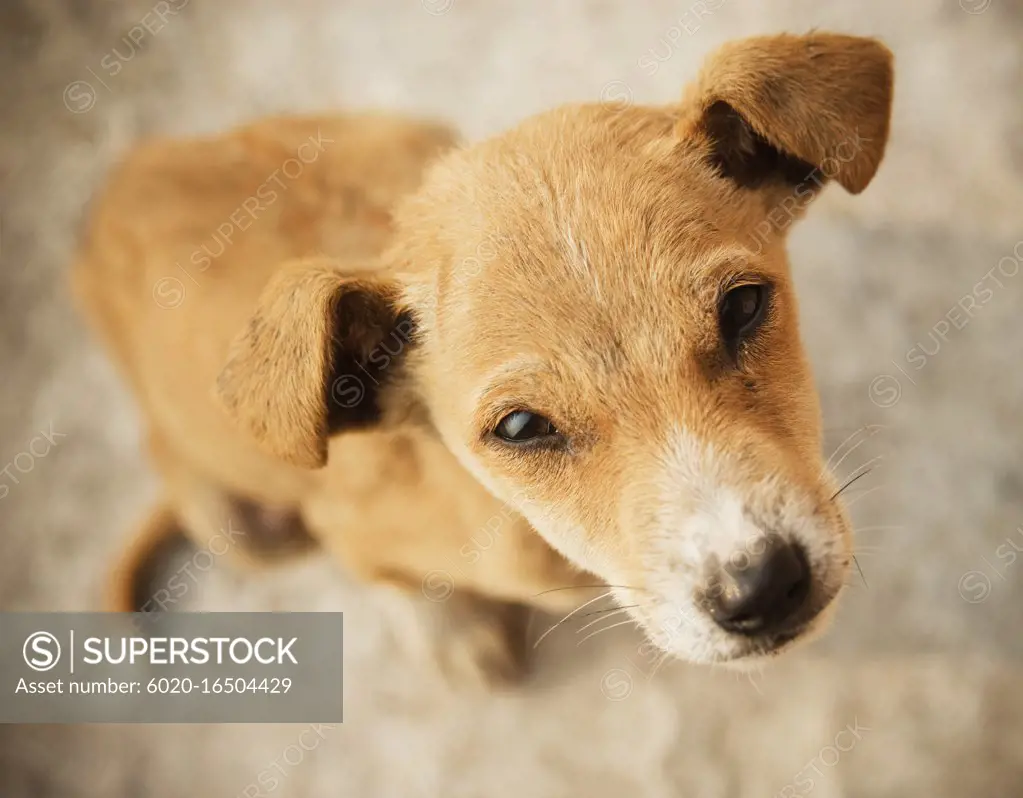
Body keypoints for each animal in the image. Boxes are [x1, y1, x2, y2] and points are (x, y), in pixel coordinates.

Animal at [72, 31, 892, 679]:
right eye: (521, 428)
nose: (763, 587)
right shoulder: (349, 530)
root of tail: (115, 184)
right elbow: (391, 581)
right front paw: (452, 636)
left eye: (743, 308)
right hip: (236, 527)